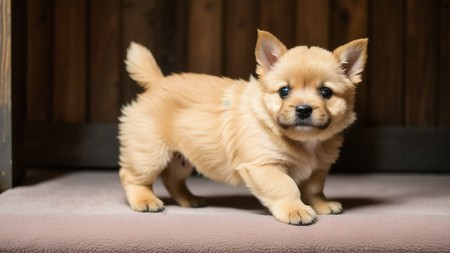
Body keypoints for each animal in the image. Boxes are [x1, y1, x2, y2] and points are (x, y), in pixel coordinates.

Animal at [118, 30, 368, 225]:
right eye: (284, 91)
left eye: (326, 92)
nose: (304, 109)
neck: (305, 142)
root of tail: (157, 81)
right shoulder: (263, 166)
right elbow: (285, 187)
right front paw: (295, 209)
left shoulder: (318, 169)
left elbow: (314, 188)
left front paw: (321, 205)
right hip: (149, 153)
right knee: (131, 176)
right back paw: (145, 201)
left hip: (183, 159)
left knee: (172, 180)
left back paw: (190, 200)